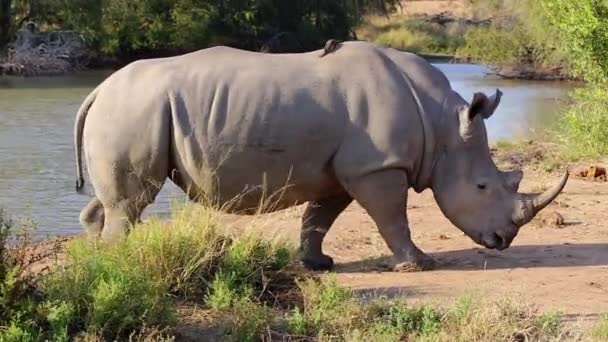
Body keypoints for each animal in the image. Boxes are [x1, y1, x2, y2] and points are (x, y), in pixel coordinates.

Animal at [73, 40, 568, 272]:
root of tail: (97, 90)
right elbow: (393, 218)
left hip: (131, 109)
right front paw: (419, 263)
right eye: (483, 186)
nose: (503, 240)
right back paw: (117, 263)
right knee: (133, 199)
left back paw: (99, 257)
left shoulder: (344, 168)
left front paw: (317, 264)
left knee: (115, 199)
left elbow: (320, 217)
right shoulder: (377, 166)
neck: (442, 125)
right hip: (135, 108)